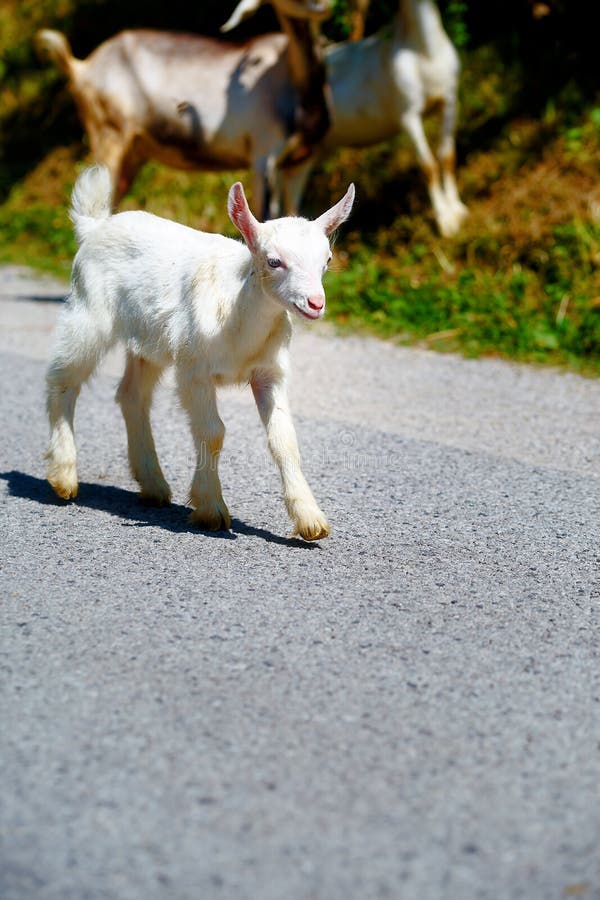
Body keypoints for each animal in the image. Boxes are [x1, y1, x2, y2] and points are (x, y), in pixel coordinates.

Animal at [48, 165, 356, 536]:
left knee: (132, 395)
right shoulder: (194, 369)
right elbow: (213, 433)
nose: (315, 303)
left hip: (149, 341)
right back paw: (64, 475)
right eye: (274, 261)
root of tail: (94, 226)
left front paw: (309, 518)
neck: (239, 315)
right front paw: (211, 508)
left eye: (326, 260)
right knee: (63, 379)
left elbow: (284, 439)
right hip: (90, 312)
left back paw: (153, 484)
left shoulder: (269, 372)